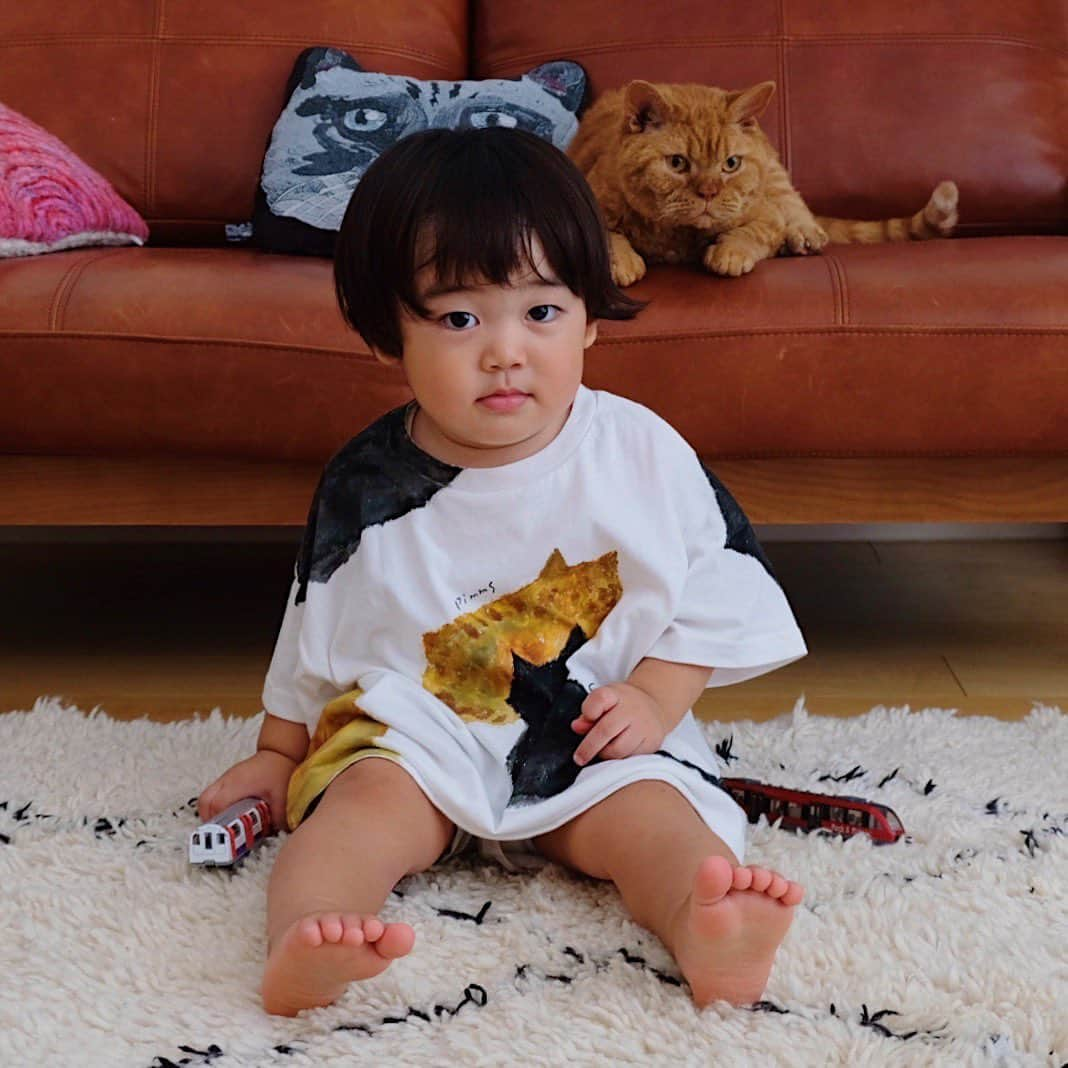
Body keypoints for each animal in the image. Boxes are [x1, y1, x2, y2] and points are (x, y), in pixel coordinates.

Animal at [568, 79, 961, 286]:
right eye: (677, 163)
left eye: (731, 164)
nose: (709, 192)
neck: (678, 237)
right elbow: (607, 234)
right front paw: (622, 261)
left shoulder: (764, 214)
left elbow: (754, 232)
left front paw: (730, 252)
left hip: (774, 175)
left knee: (795, 205)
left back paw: (802, 234)